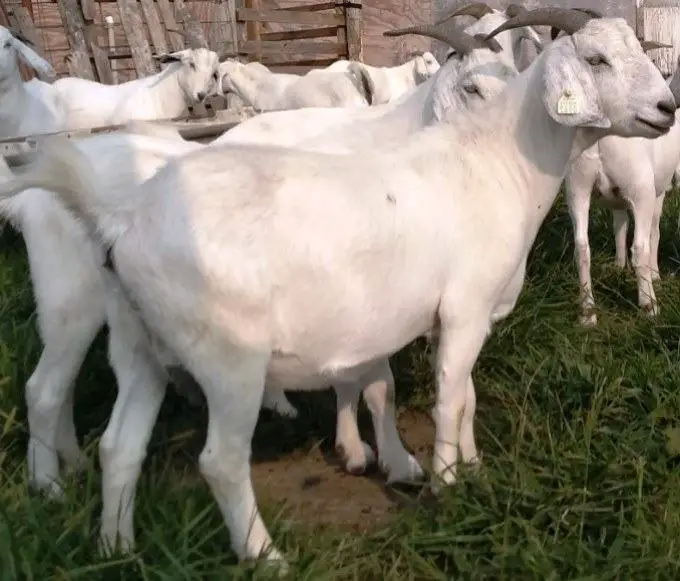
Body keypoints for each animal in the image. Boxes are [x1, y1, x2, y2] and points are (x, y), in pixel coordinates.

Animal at [1, 8, 674, 566]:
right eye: (596, 58)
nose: (667, 108)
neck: (492, 160)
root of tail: (121, 216)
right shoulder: (463, 308)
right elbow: (447, 399)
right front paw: (447, 485)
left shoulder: (456, 316)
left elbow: (465, 394)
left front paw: (470, 465)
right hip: (223, 358)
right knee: (216, 460)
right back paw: (263, 556)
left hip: (140, 345)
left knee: (120, 448)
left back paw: (116, 548)